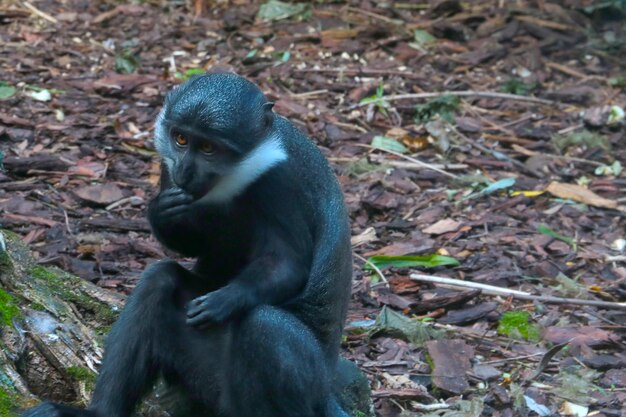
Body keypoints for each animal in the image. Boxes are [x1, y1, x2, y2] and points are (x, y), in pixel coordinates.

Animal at [22, 72, 354, 416]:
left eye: (208, 147)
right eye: (181, 139)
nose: (184, 169)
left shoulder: (279, 181)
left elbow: (287, 263)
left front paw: (225, 299)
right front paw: (161, 212)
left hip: (309, 385)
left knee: (266, 324)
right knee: (159, 279)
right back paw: (98, 412)